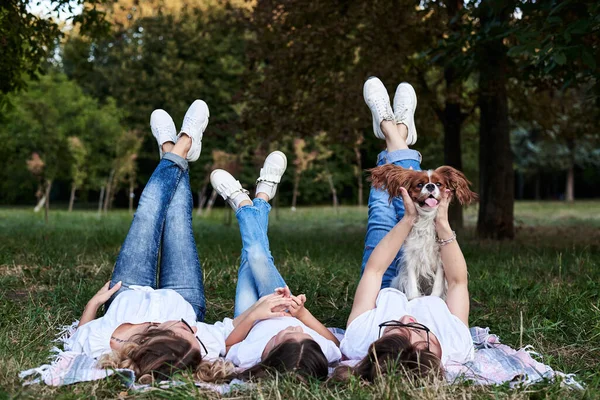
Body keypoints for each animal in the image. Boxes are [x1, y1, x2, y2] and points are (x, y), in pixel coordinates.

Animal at [368, 164, 476, 298]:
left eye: (438, 184)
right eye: (419, 184)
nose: (430, 186)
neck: (426, 219)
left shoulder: (440, 262)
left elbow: (437, 285)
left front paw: (434, 298)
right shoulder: (411, 258)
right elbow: (413, 286)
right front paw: (414, 298)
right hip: (396, 280)